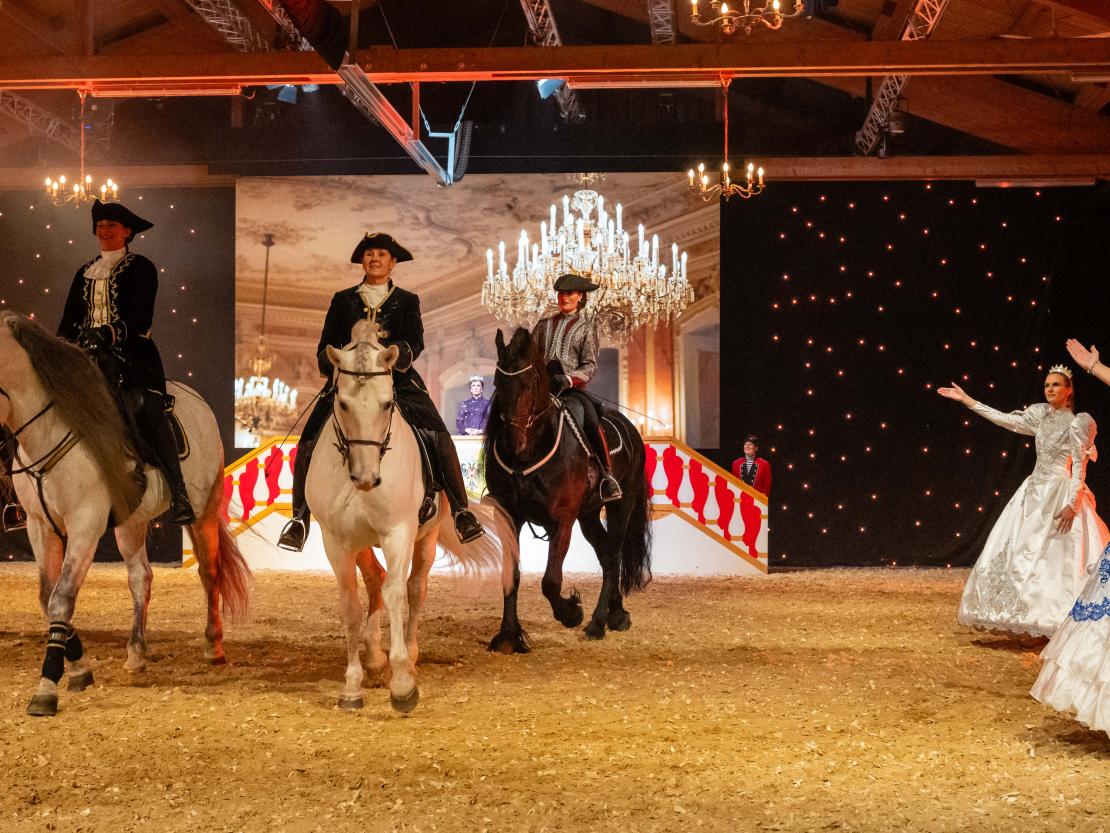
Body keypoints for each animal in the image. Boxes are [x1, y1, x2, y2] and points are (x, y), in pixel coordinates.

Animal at [0, 312, 251, 717]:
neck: (51, 430)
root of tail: (197, 400)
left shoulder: (85, 526)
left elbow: (61, 597)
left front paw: (47, 687)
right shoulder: (41, 527)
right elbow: (46, 597)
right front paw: (80, 669)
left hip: (203, 512)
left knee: (209, 572)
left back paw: (212, 645)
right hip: (131, 523)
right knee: (141, 578)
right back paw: (136, 652)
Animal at [310, 320, 510, 713]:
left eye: (388, 403)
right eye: (342, 402)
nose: (367, 479)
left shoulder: (398, 533)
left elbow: (396, 594)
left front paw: (402, 683)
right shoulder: (336, 542)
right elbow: (350, 604)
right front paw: (352, 685)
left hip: (426, 539)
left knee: (414, 587)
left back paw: (409, 656)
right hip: (362, 543)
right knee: (375, 579)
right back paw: (374, 657)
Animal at [483, 327, 652, 651]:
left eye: (533, 382)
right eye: (498, 381)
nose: (513, 442)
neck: (531, 453)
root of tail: (631, 430)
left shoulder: (562, 519)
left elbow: (550, 581)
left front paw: (571, 612)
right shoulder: (509, 516)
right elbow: (511, 574)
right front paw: (508, 636)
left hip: (619, 507)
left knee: (613, 555)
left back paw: (597, 623)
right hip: (588, 516)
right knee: (605, 555)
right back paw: (616, 615)